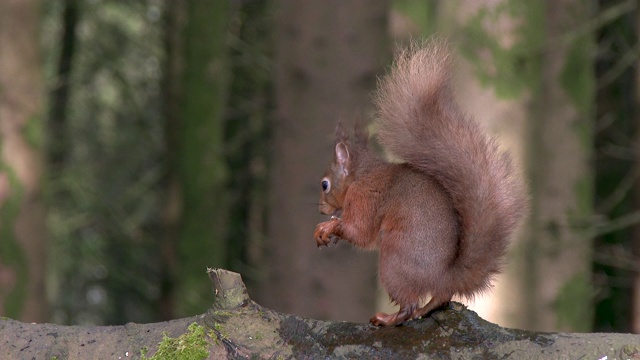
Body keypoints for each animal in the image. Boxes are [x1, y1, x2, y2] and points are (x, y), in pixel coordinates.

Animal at [312, 39, 528, 326]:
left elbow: (359, 232)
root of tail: (444, 275)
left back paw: (390, 318)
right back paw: (426, 310)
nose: (320, 209)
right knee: (439, 297)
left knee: (409, 304)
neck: (361, 174)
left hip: (394, 261)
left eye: (325, 185)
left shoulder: (365, 196)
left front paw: (327, 226)